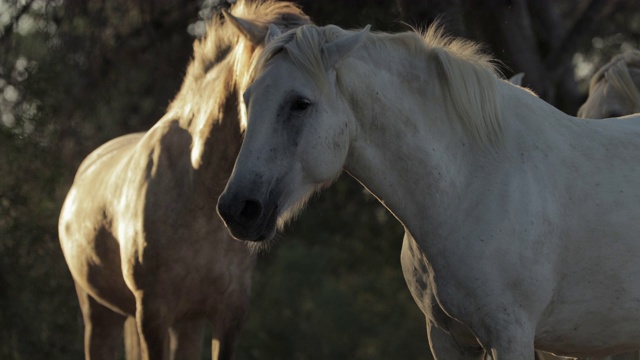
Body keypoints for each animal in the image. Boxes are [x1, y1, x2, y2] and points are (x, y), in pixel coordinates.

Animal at [58, 1, 308, 358]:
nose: (249, 212)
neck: (197, 189)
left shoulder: (228, 314)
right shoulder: (153, 313)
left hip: (186, 321)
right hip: (99, 311)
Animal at [219, 23, 640, 358]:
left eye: (300, 103)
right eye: (247, 99)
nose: (237, 209)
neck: (469, 184)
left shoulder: (512, 337)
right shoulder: (447, 338)